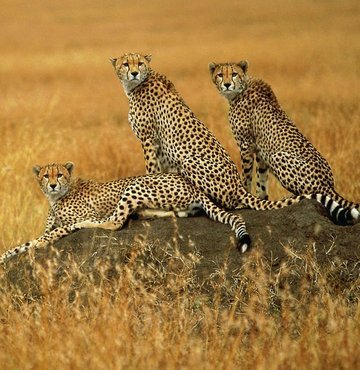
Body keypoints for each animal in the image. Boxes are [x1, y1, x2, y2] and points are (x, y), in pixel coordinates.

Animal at [0, 162, 255, 264]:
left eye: (59, 174)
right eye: (46, 175)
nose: (53, 185)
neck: (57, 198)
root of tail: (193, 184)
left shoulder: (63, 224)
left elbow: (42, 238)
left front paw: (37, 244)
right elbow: (24, 243)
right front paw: (5, 255)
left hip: (135, 184)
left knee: (115, 222)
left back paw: (88, 223)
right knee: (174, 214)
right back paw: (146, 215)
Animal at [210, 61, 358, 214]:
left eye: (234, 74)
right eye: (220, 75)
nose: (227, 84)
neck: (240, 90)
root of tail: (330, 184)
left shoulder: (246, 144)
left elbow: (247, 175)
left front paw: (244, 199)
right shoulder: (261, 150)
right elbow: (261, 178)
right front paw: (262, 200)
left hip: (277, 156)